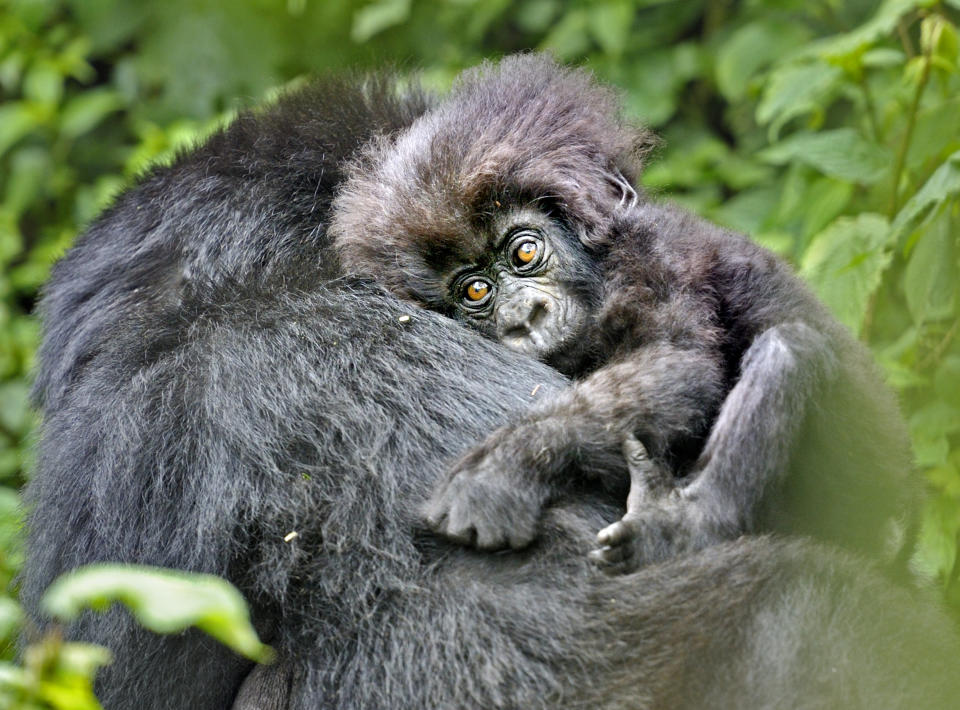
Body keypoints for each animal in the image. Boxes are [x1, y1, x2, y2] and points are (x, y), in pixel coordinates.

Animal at [332, 57, 916, 580]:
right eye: (476, 289)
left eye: (524, 252)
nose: (523, 317)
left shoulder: (651, 264)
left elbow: (676, 362)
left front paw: (507, 463)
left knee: (788, 350)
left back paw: (685, 530)